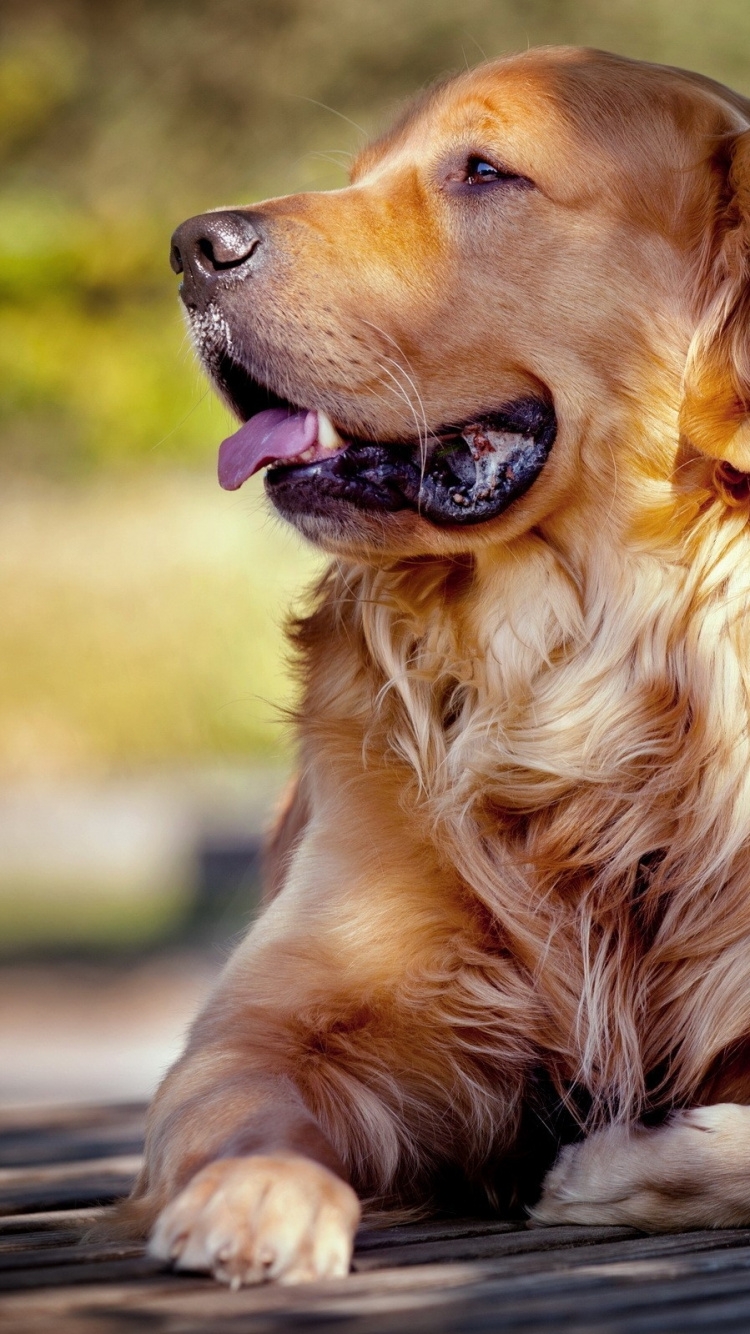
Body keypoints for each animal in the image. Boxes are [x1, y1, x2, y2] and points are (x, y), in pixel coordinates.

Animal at [102, 47, 747, 1285]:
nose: (194, 245)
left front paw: (612, 1168)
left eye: (484, 171)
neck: (577, 672)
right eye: (360, 172)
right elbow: (244, 1086)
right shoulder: (285, 1005)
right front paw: (255, 1191)